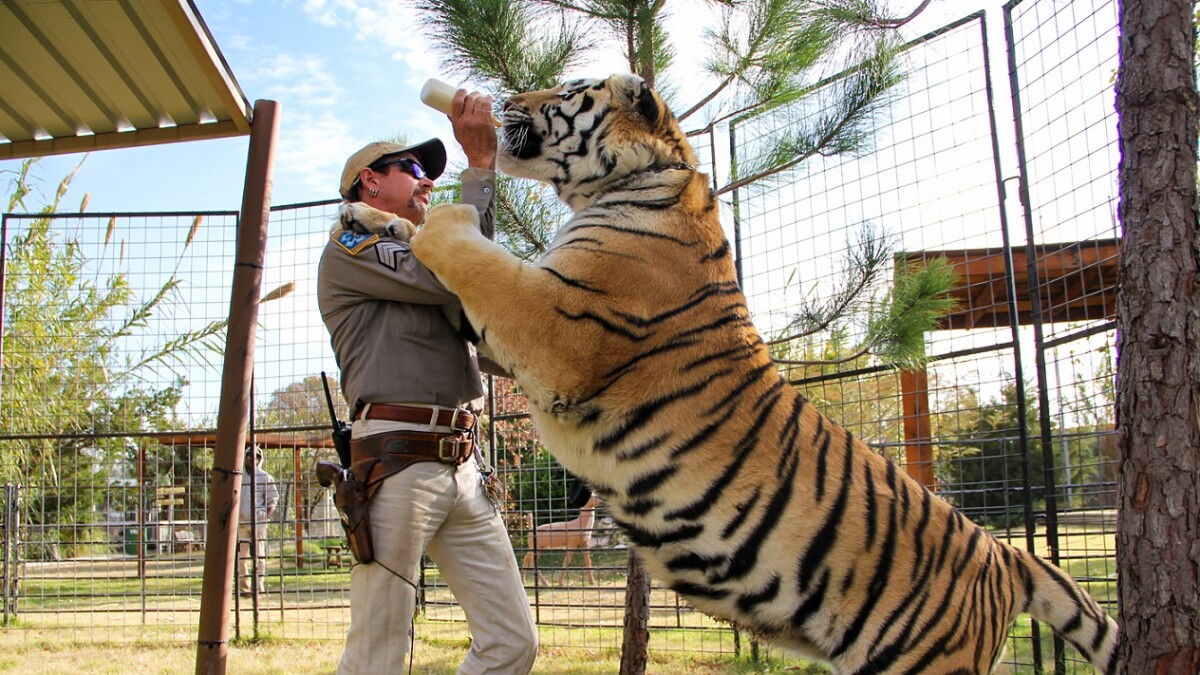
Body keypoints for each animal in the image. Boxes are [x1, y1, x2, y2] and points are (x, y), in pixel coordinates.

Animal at [400, 72, 1119, 673]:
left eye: (569, 90)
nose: (505, 98)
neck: (640, 178)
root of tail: (1006, 553)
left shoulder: (556, 326)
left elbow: (475, 257)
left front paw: (436, 216)